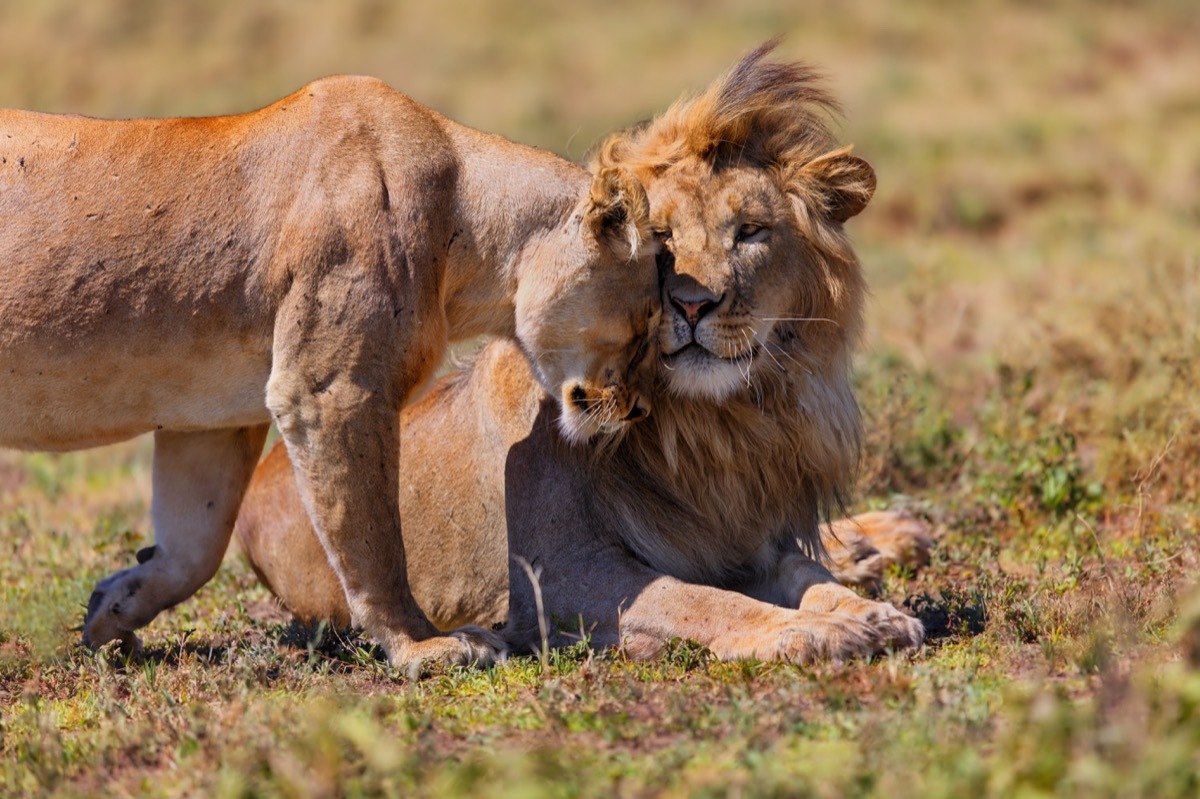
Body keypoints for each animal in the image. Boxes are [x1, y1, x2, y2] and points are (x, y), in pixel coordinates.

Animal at [0, 76, 657, 667]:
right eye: (650, 322)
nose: (640, 409)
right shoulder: (330, 392)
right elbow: (372, 538)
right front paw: (424, 645)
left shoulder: (209, 419)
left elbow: (194, 546)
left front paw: (112, 608)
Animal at [234, 44, 926, 667]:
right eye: (662, 237)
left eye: (751, 232)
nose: (692, 305)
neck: (713, 428)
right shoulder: (557, 575)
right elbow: (700, 600)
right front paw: (808, 631)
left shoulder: (745, 539)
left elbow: (809, 577)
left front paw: (870, 613)